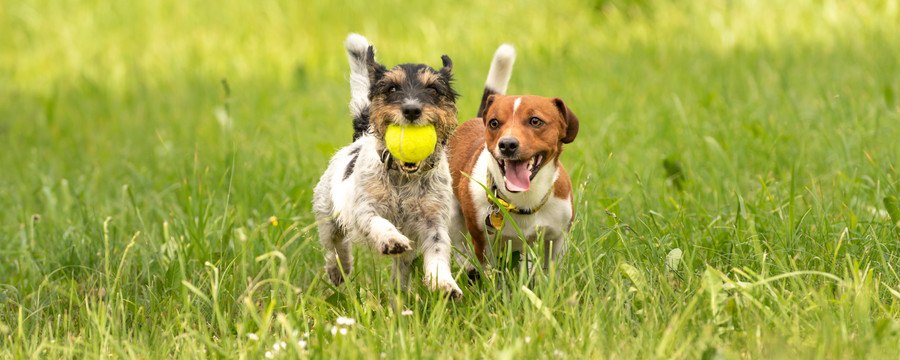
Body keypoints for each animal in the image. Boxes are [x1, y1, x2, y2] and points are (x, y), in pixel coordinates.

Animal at [312, 33, 464, 298]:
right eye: (392, 88)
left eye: (433, 89)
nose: (412, 110)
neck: (404, 177)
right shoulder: (365, 208)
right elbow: (378, 222)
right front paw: (391, 239)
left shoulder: (433, 220)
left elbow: (438, 248)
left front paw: (444, 283)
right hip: (327, 214)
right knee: (335, 246)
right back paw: (339, 270)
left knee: (401, 268)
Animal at [448, 45, 580, 276]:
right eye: (494, 123)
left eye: (535, 121)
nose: (507, 144)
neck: (524, 201)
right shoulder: (483, 241)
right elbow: (490, 273)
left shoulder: (558, 237)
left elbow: (552, 270)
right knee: (458, 246)